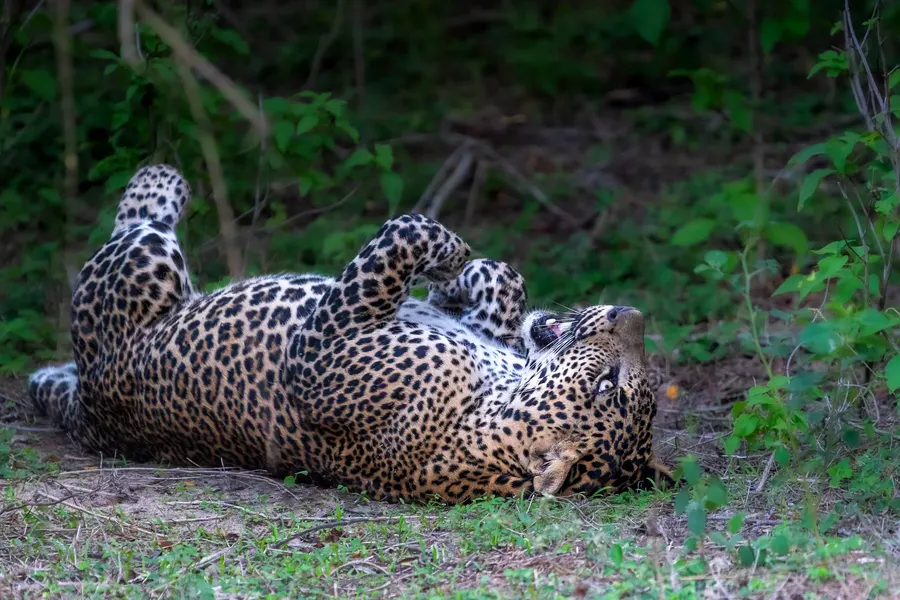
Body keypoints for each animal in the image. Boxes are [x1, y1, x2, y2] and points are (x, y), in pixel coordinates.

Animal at [28, 163, 672, 504]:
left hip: (142, 265)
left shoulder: (319, 351)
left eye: (609, 385)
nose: (632, 314)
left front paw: (449, 259)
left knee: (140, 220)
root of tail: (95, 409)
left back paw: (162, 180)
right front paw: (465, 277)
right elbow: (501, 285)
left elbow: (405, 231)